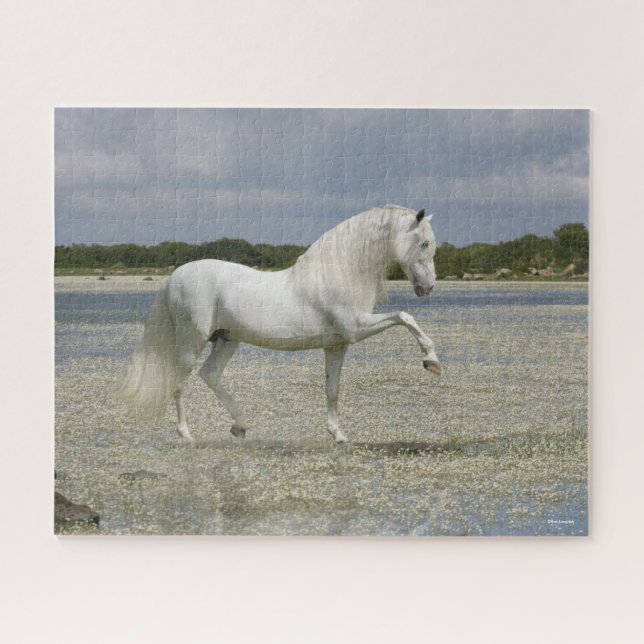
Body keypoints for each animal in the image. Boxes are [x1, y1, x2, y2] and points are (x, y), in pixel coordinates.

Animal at [119, 205, 441, 443]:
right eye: (424, 243)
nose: (428, 288)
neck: (338, 273)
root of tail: (174, 278)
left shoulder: (337, 345)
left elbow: (332, 390)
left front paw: (338, 435)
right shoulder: (356, 328)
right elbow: (405, 317)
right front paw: (431, 360)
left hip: (227, 339)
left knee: (210, 374)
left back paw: (240, 426)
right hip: (192, 341)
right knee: (178, 381)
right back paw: (187, 435)